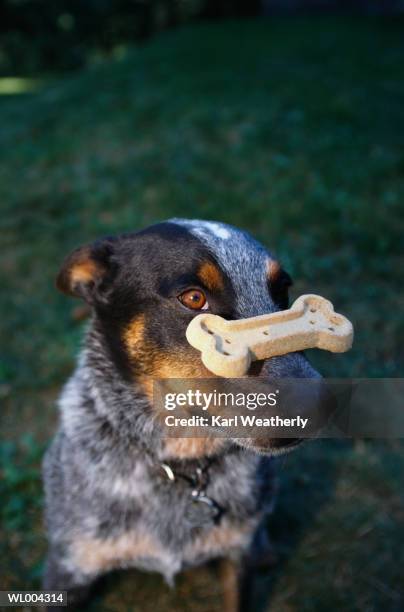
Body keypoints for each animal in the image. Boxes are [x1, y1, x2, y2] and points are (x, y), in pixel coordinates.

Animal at [42, 218, 320, 608]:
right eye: (193, 298)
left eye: (282, 291)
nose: (319, 402)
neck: (180, 465)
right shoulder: (69, 567)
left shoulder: (236, 558)